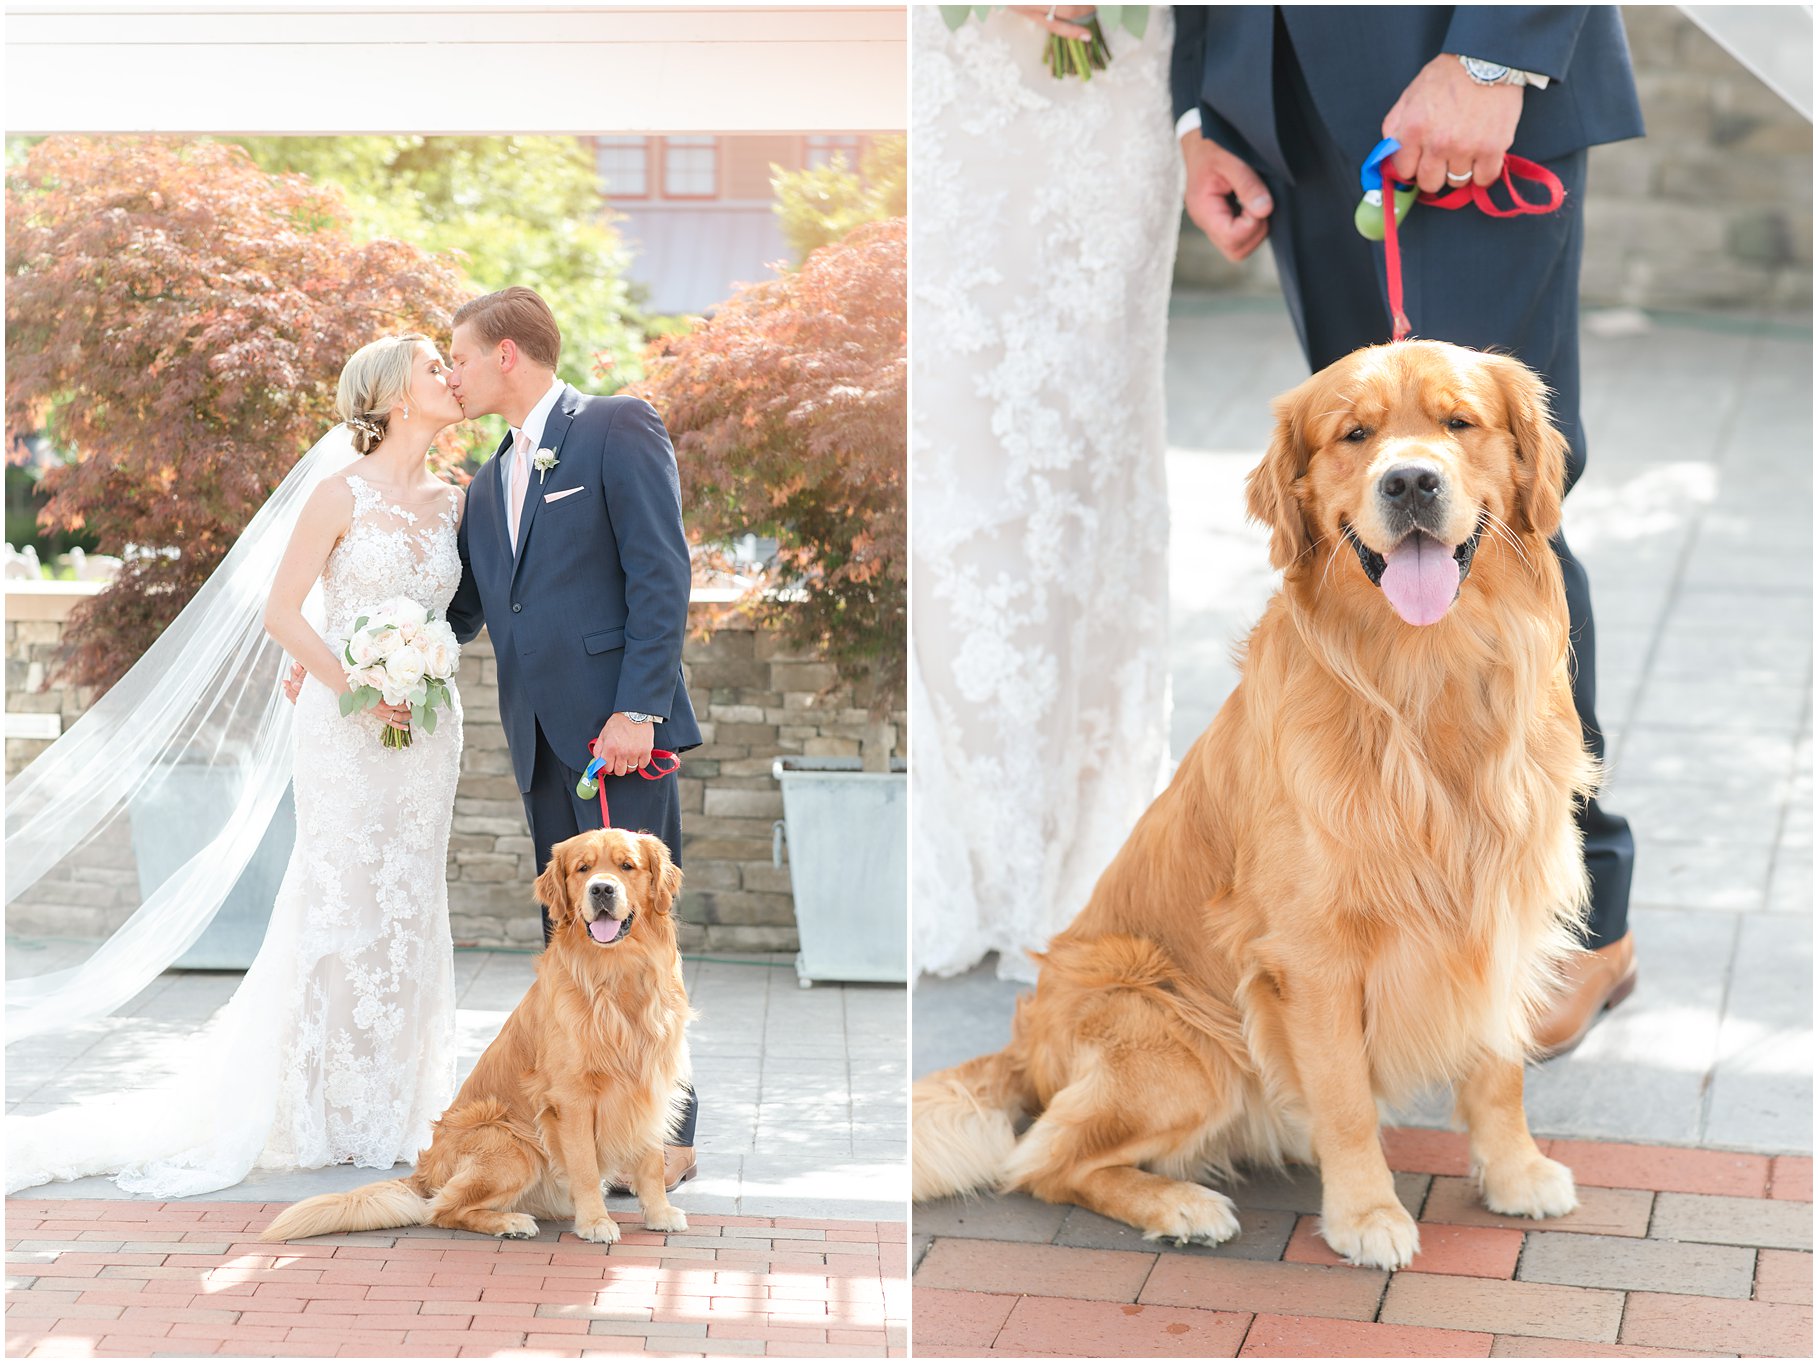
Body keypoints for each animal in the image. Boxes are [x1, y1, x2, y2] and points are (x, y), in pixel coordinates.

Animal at [265, 828, 694, 1243]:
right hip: (511, 1141)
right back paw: (511, 1222)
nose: (602, 890)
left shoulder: (649, 1082)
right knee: (441, 1210)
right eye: (583, 869)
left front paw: (658, 1213)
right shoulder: (570, 1098)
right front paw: (595, 1222)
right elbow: (586, 1167)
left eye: (627, 866)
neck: (616, 975)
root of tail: (423, 1174)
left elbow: (651, 1161)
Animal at [916, 339, 1599, 1272]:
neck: (1422, 681)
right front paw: (1366, 1213)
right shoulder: (1310, 956)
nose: (1410, 482)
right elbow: (1344, 1096)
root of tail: (1025, 1046)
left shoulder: (1497, 903)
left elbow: (1498, 1063)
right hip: (1184, 1036)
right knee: (1044, 1161)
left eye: (1460, 422)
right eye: (1354, 434)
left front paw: (1515, 1170)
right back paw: (1180, 1204)